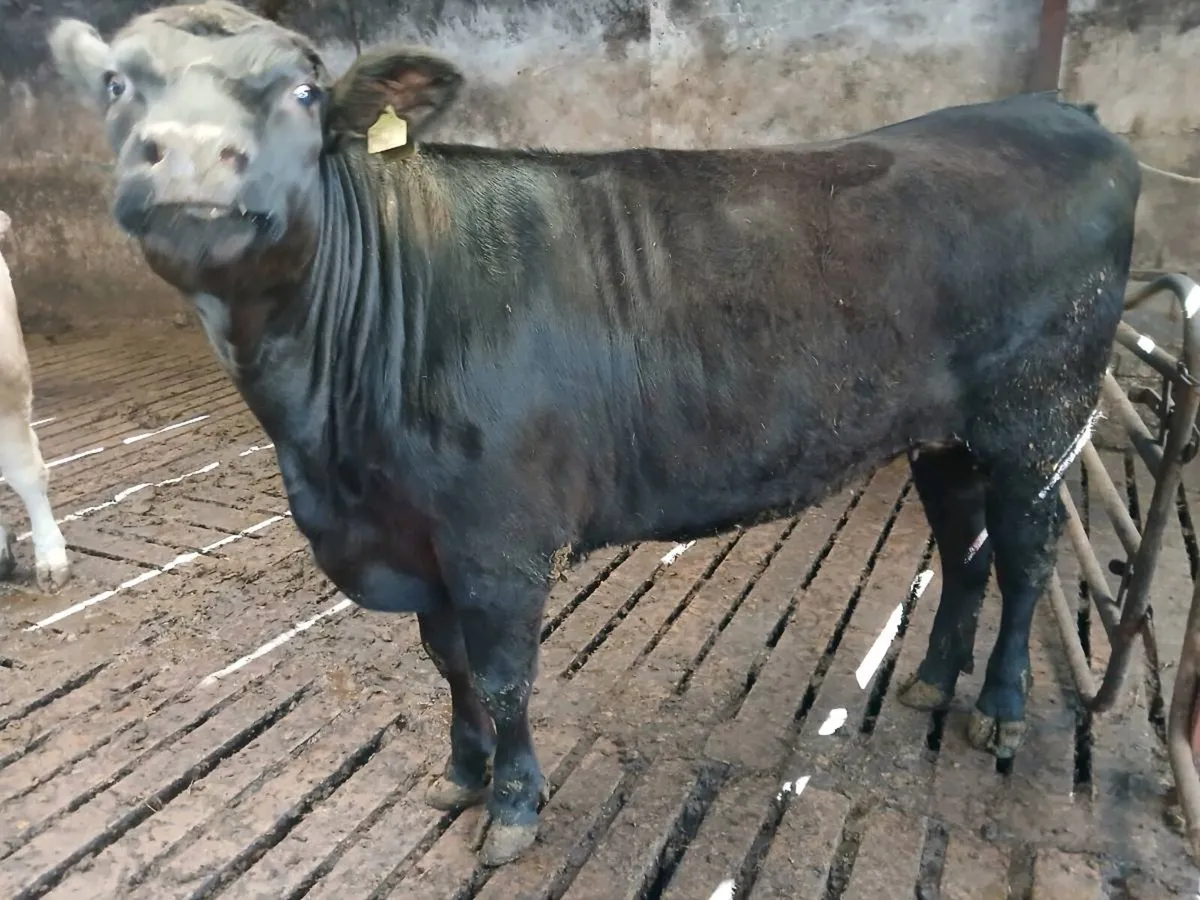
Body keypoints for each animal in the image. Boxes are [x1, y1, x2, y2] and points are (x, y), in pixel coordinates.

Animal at [48, 1, 1140, 867]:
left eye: (305, 91)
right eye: (116, 83)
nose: (192, 156)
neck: (329, 453)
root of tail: (1051, 110)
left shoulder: (497, 537)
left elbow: (502, 674)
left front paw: (513, 807)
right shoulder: (419, 537)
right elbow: (445, 661)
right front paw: (461, 774)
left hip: (1040, 417)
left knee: (1029, 557)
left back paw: (1000, 711)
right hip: (943, 433)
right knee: (964, 548)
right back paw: (930, 682)